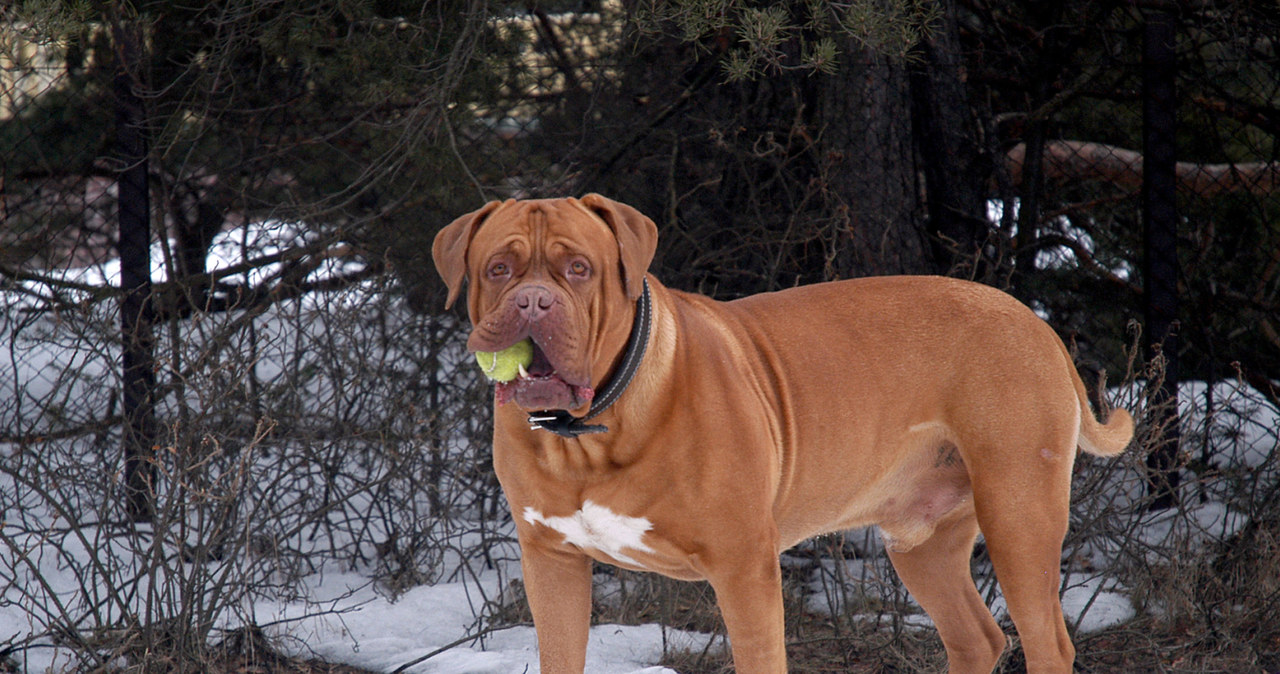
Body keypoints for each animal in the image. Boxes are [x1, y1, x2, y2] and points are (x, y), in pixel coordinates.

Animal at [435, 195, 1136, 674]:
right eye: (498, 268)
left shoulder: (744, 567)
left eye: (579, 269)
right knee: (977, 638)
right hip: (924, 542)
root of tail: (1035, 321)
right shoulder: (551, 562)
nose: (532, 302)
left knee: (1046, 640)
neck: (586, 431)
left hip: (1019, 514)